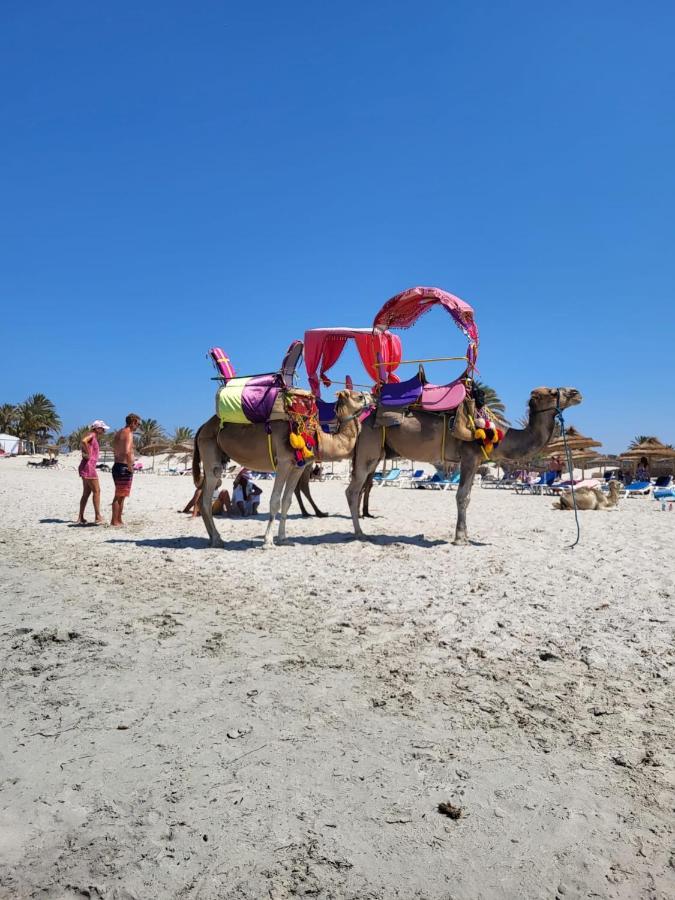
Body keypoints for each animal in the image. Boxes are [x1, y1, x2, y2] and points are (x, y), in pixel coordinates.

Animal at [193, 388, 370, 548]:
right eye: (360, 396)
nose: (373, 397)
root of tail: (202, 427)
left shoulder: (297, 467)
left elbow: (287, 501)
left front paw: (284, 539)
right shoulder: (284, 463)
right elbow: (275, 500)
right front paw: (268, 541)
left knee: (203, 498)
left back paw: (213, 538)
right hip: (210, 455)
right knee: (206, 499)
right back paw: (217, 539)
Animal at [346, 384, 584, 540]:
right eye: (552, 391)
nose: (577, 393)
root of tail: (362, 417)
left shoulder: (476, 461)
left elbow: (468, 497)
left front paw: (465, 534)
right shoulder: (469, 456)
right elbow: (461, 496)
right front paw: (460, 537)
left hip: (376, 452)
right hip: (369, 448)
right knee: (353, 490)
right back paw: (359, 533)